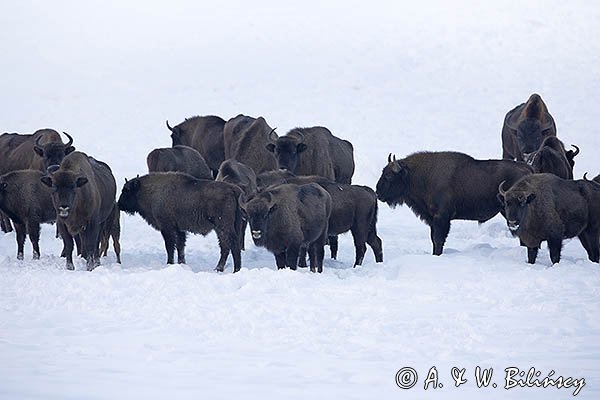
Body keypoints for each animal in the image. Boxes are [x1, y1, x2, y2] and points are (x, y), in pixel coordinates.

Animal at [378, 152, 532, 255]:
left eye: (389, 176)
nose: (378, 193)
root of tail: (527, 170)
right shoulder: (433, 219)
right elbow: (434, 239)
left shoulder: (441, 218)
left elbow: (438, 239)